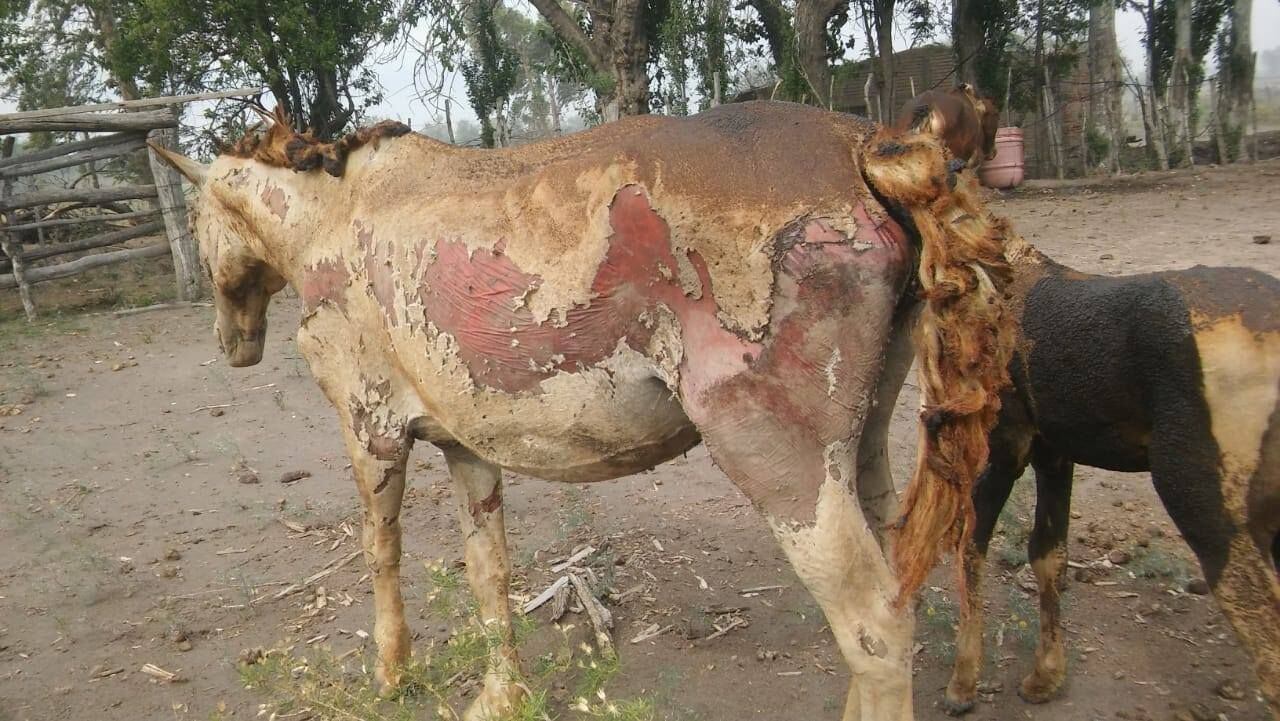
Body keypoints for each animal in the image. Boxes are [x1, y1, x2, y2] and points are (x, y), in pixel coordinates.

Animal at [152, 103, 1018, 721]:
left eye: (195, 225)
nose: (233, 343)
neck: (334, 219)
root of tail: (862, 148)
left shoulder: (373, 436)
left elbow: (381, 556)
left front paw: (392, 674)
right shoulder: (466, 448)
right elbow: (488, 571)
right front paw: (500, 695)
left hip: (786, 468)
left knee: (875, 625)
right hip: (857, 453)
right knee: (892, 593)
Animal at [942, 235, 1280, 717]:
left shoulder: (1007, 446)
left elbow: (971, 546)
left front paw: (962, 686)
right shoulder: (1054, 452)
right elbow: (1049, 555)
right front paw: (1044, 680)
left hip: (1204, 503)